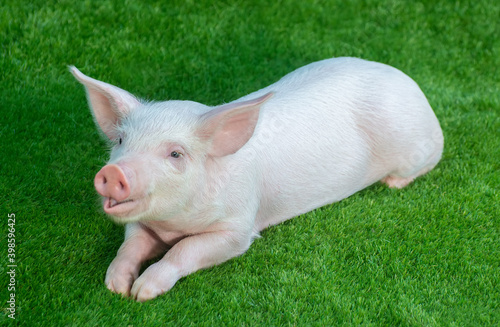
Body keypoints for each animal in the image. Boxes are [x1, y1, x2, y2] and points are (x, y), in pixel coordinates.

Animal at [69, 57, 442, 302]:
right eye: (121, 141)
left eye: (175, 154)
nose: (112, 173)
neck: (172, 224)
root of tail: (411, 85)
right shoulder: (143, 223)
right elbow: (130, 244)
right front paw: (116, 286)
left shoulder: (238, 226)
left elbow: (185, 250)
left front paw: (141, 294)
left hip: (419, 148)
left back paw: (393, 184)